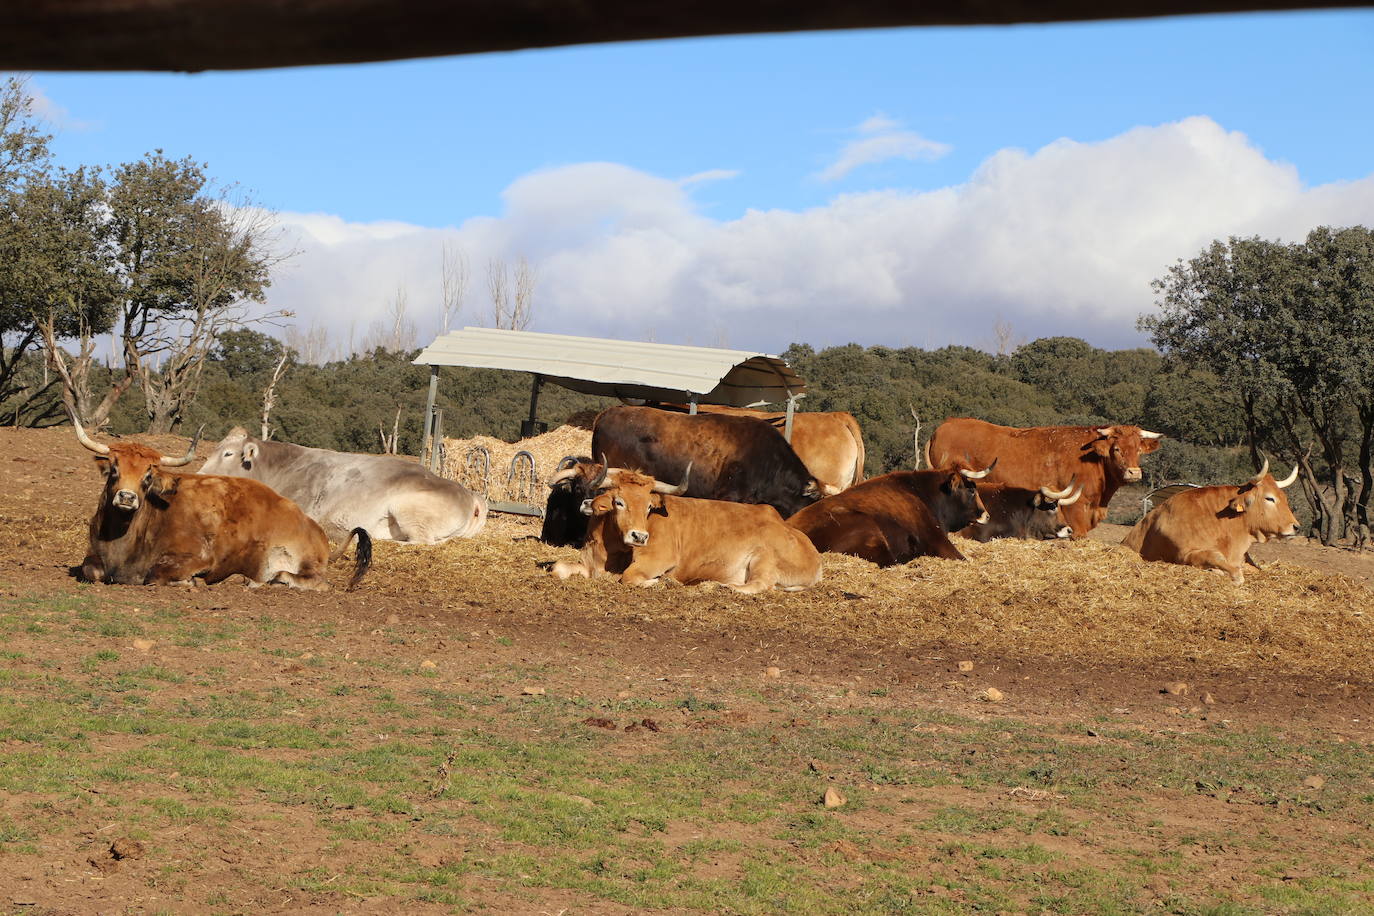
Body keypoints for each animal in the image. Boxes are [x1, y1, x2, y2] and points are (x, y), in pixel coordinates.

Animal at [71, 420, 368, 590]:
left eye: (148, 476)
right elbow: (90, 570)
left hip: (302, 561)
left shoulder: (197, 557)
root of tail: (312, 526)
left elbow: (156, 575)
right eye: (114, 470)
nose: (127, 497)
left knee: (313, 582)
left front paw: (193, 581)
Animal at [549, 466, 824, 596]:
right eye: (619, 502)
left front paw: (661, 582)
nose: (640, 536)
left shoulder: (658, 559)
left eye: (648, 506)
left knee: (760, 584)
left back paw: (717, 587)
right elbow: (557, 568)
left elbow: (628, 577)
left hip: (762, 558)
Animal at [1115, 458, 1297, 587]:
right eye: (1269, 498)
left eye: (1284, 497)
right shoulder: (1185, 554)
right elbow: (1219, 560)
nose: (1296, 526)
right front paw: (1221, 572)